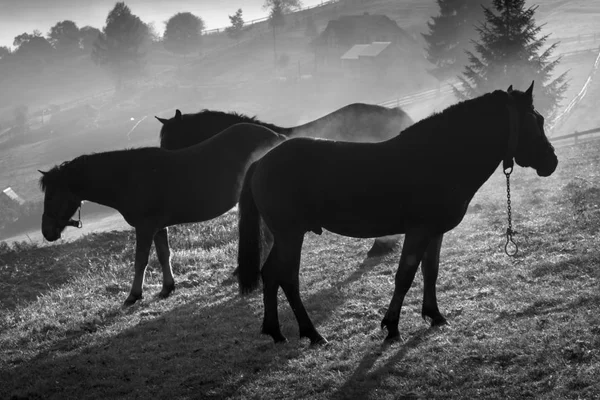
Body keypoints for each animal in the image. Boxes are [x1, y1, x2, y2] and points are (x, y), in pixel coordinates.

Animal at [39, 123, 286, 304]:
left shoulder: (145, 228)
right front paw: (167, 287)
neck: (129, 178)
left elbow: (141, 260)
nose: (47, 232)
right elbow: (163, 255)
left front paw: (133, 295)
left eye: (52, 196)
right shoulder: (157, 227)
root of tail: (277, 137)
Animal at [236, 83, 556, 346]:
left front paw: (435, 316)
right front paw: (391, 328)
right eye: (535, 120)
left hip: (285, 236)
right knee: (287, 277)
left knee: (271, 274)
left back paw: (276, 332)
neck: (441, 156)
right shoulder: (418, 231)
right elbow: (405, 276)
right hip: (291, 235)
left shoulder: (434, 232)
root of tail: (262, 162)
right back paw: (312, 334)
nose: (551, 161)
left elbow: (430, 271)